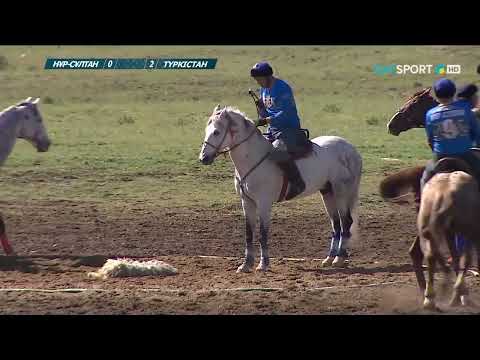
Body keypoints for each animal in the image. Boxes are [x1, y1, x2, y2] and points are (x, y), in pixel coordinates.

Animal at [198, 105, 360, 272]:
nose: (203, 158)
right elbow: (249, 233)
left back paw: (339, 258)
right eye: (206, 130)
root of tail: (350, 148)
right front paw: (246, 264)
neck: (253, 159)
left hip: (341, 192)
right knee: (336, 224)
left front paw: (263, 264)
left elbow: (263, 233)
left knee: (346, 222)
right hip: (327, 192)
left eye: (216, 132)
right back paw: (329, 258)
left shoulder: (264, 203)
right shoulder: (247, 202)